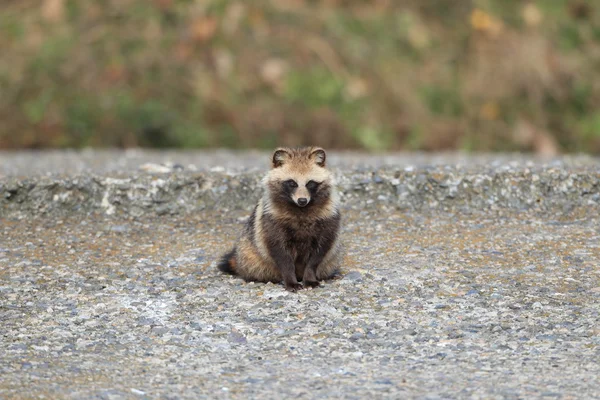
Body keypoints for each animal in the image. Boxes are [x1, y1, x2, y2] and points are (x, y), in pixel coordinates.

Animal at [219, 147, 342, 290]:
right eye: (292, 183)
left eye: (310, 183)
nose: (302, 200)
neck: (300, 209)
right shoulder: (271, 221)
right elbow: (281, 254)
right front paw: (290, 280)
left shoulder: (328, 218)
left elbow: (319, 253)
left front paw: (310, 276)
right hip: (248, 254)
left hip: (332, 259)